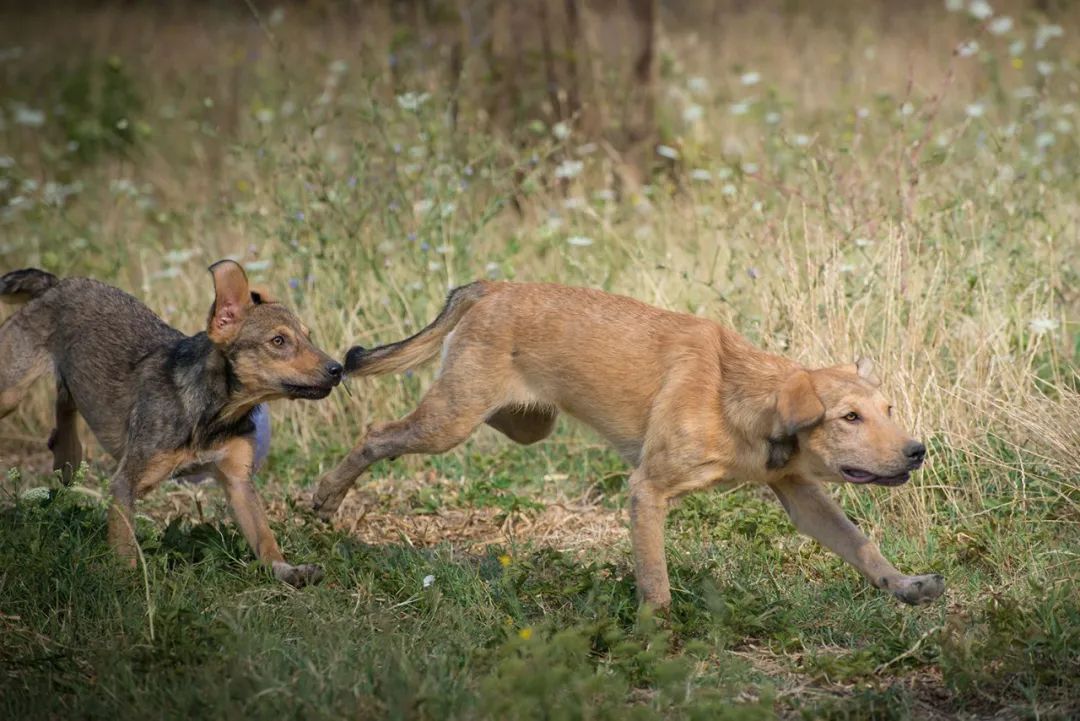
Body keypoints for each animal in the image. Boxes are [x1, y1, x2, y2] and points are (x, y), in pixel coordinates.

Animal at [1, 260, 341, 587]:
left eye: (309, 337)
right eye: (278, 341)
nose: (338, 369)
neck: (212, 413)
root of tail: (56, 283)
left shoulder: (238, 483)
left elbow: (266, 541)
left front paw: (289, 572)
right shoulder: (126, 482)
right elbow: (125, 548)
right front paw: (128, 586)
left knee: (65, 397)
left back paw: (67, 454)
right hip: (11, 392)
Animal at [315, 280, 946, 608]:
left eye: (889, 412)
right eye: (849, 417)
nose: (916, 451)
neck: (740, 397)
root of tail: (496, 285)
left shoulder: (800, 494)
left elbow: (861, 546)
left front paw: (905, 585)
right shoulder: (648, 492)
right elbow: (656, 583)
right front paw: (656, 642)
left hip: (521, 421)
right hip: (449, 422)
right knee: (376, 436)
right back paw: (324, 497)